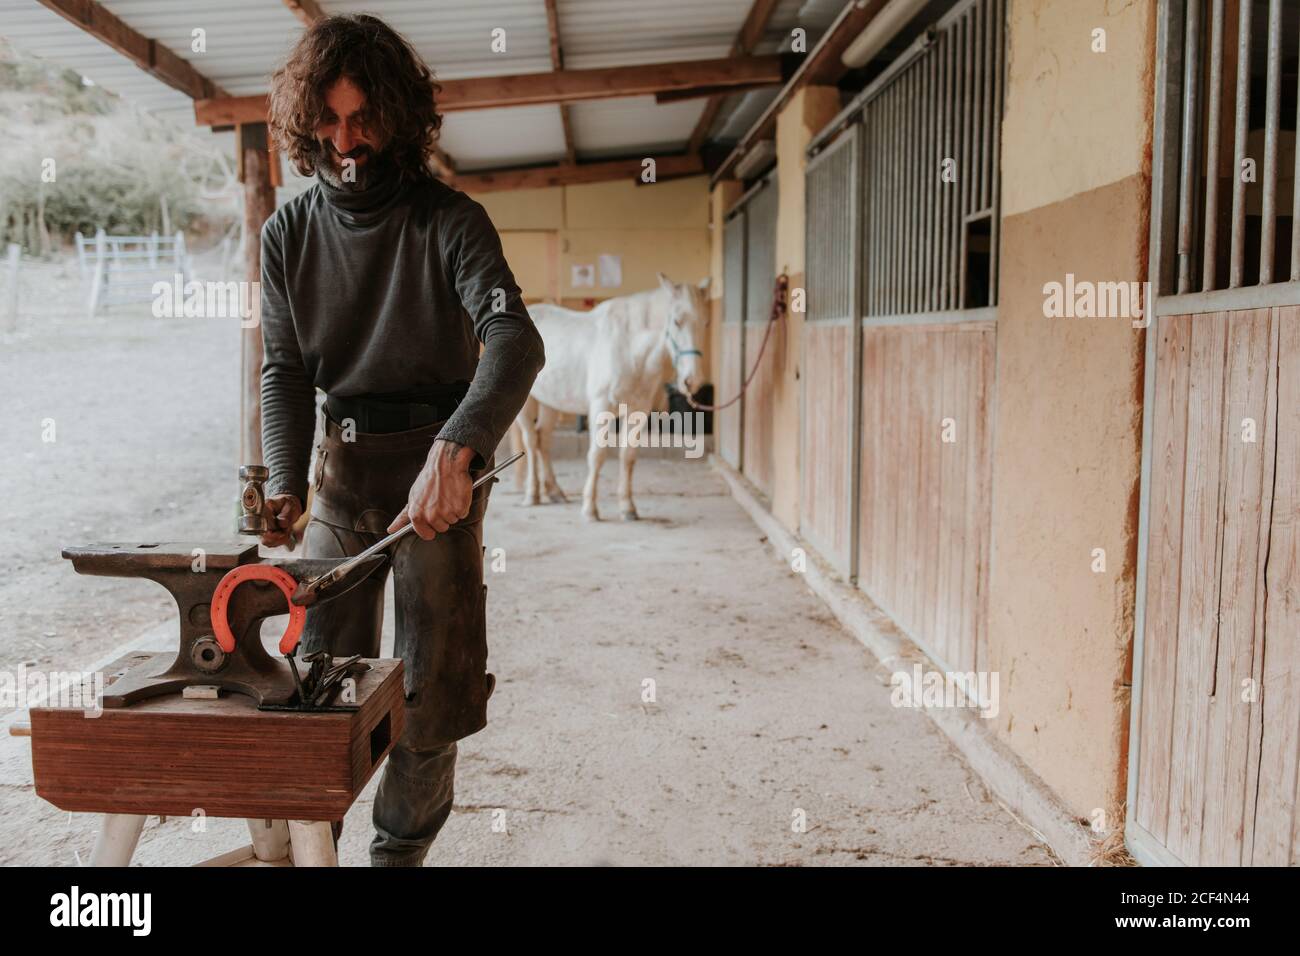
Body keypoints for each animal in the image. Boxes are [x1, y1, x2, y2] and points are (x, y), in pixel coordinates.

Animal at [512, 269, 712, 522]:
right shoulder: (602, 406)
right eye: (677, 321)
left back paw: (555, 492)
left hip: (550, 403)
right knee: (530, 441)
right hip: (527, 403)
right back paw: (532, 495)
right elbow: (597, 456)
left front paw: (628, 507)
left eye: (705, 322)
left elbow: (628, 456)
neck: (629, 348)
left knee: (543, 440)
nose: (691, 380)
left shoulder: (638, 409)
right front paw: (590, 509)